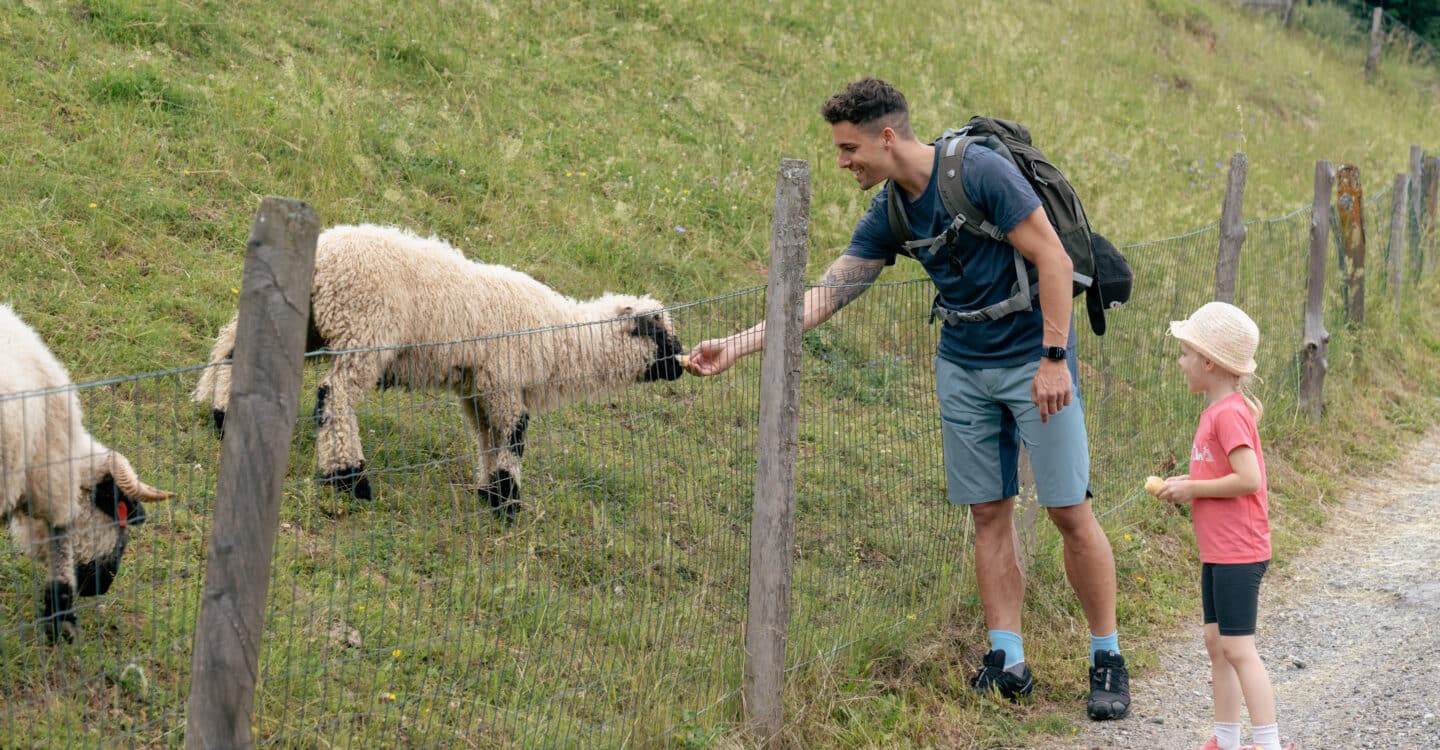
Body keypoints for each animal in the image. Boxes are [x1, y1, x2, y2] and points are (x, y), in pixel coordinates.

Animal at [191, 221, 685, 515]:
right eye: (659, 335)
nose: (682, 366)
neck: (562, 338)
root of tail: (324, 254)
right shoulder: (503, 380)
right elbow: (514, 435)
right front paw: (507, 500)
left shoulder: (477, 387)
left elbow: (488, 438)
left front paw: (491, 491)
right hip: (364, 330)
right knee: (335, 398)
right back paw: (348, 477)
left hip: (307, 319)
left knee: (232, 347)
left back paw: (222, 416)